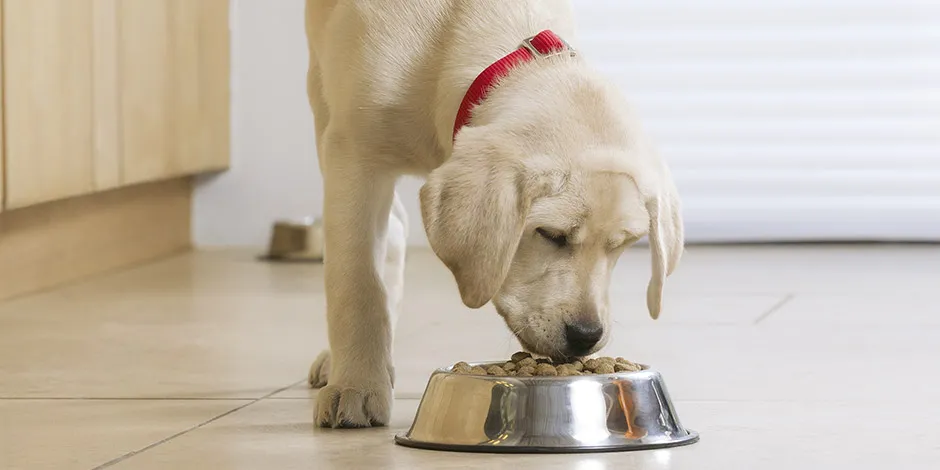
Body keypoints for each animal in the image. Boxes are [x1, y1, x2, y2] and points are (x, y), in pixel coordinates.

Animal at [304, 0, 680, 430]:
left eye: (622, 245)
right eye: (550, 234)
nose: (586, 335)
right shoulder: (353, 154)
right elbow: (356, 282)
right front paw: (356, 385)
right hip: (320, 97)